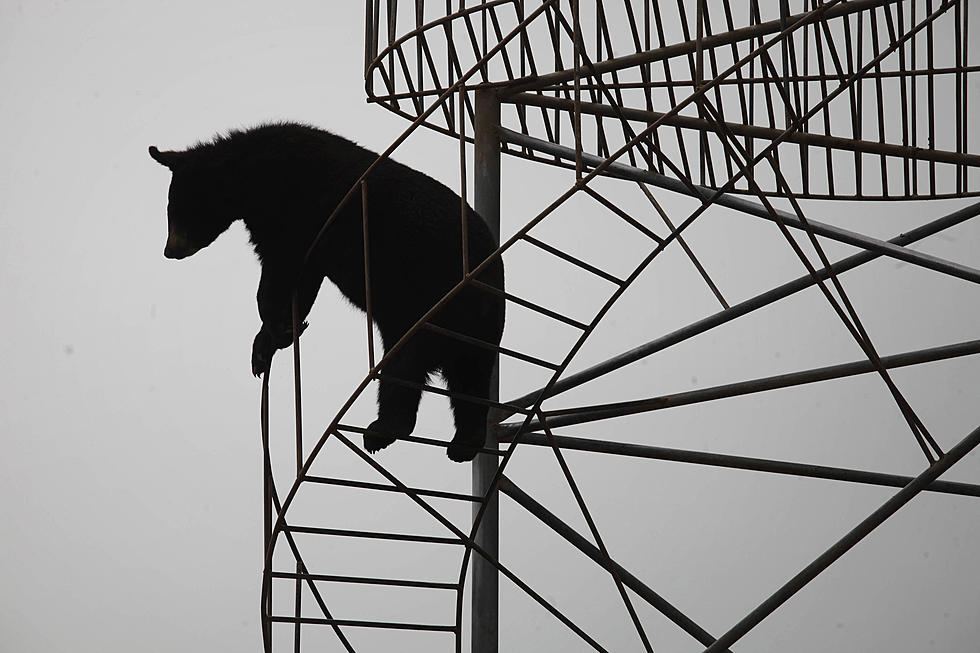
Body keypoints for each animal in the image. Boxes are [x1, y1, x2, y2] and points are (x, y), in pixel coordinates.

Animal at [154, 121, 510, 458]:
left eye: (174, 209)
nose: (169, 251)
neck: (255, 177)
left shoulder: (298, 212)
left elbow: (280, 273)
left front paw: (276, 329)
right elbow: (300, 284)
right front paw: (267, 345)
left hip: (431, 298)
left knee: (406, 365)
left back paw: (382, 431)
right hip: (465, 324)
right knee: (468, 379)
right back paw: (463, 443)